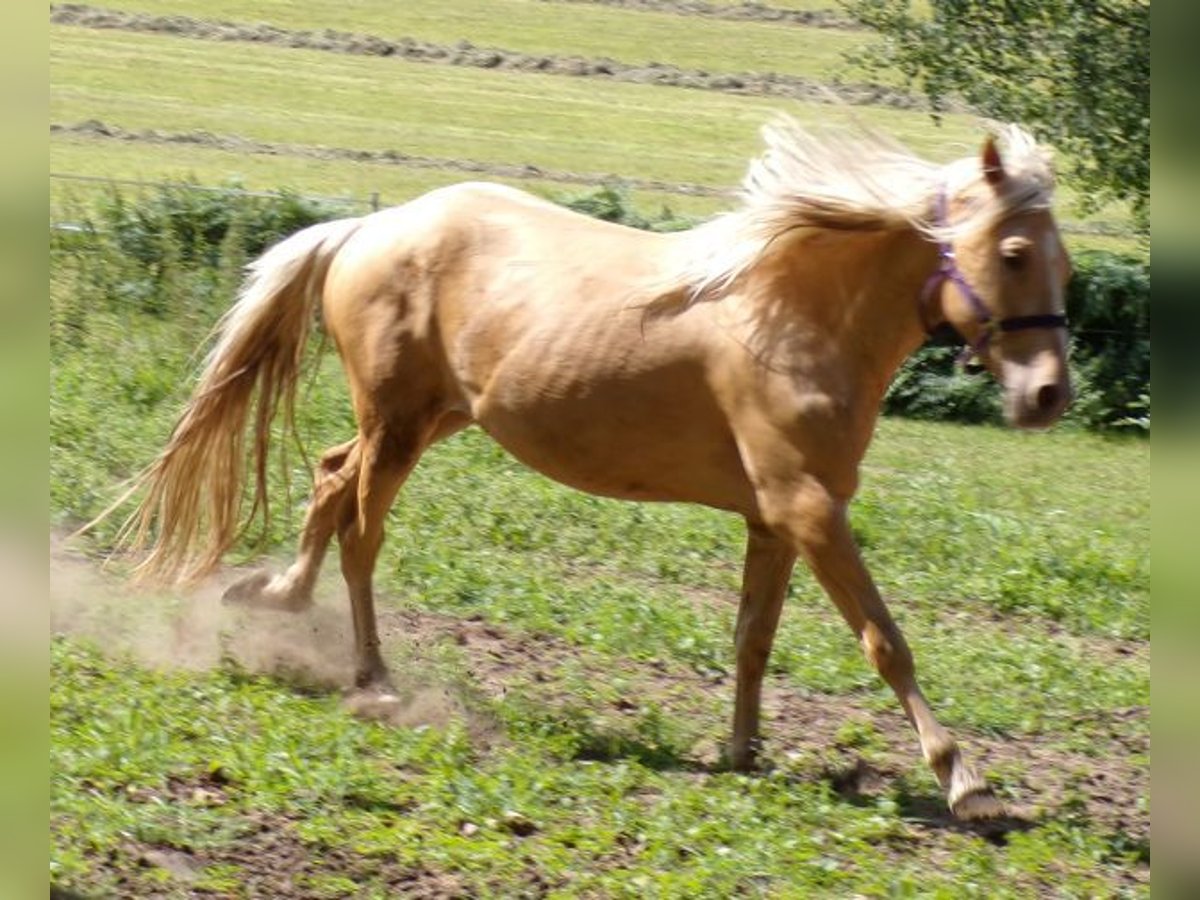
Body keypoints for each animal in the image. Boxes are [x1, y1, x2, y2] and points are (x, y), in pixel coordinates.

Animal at [119, 121, 1070, 825]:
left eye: (1063, 261)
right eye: (1014, 253)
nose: (1049, 393)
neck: (792, 317)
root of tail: (368, 228)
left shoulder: (773, 519)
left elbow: (753, 638)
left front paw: (742, 752)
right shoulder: (809, 509)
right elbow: (884, 640)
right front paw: (967, 784)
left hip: (427, 419)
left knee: (326, 477)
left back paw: (273, 594)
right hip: (397, 427)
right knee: (363, 533)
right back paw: (373, 680)